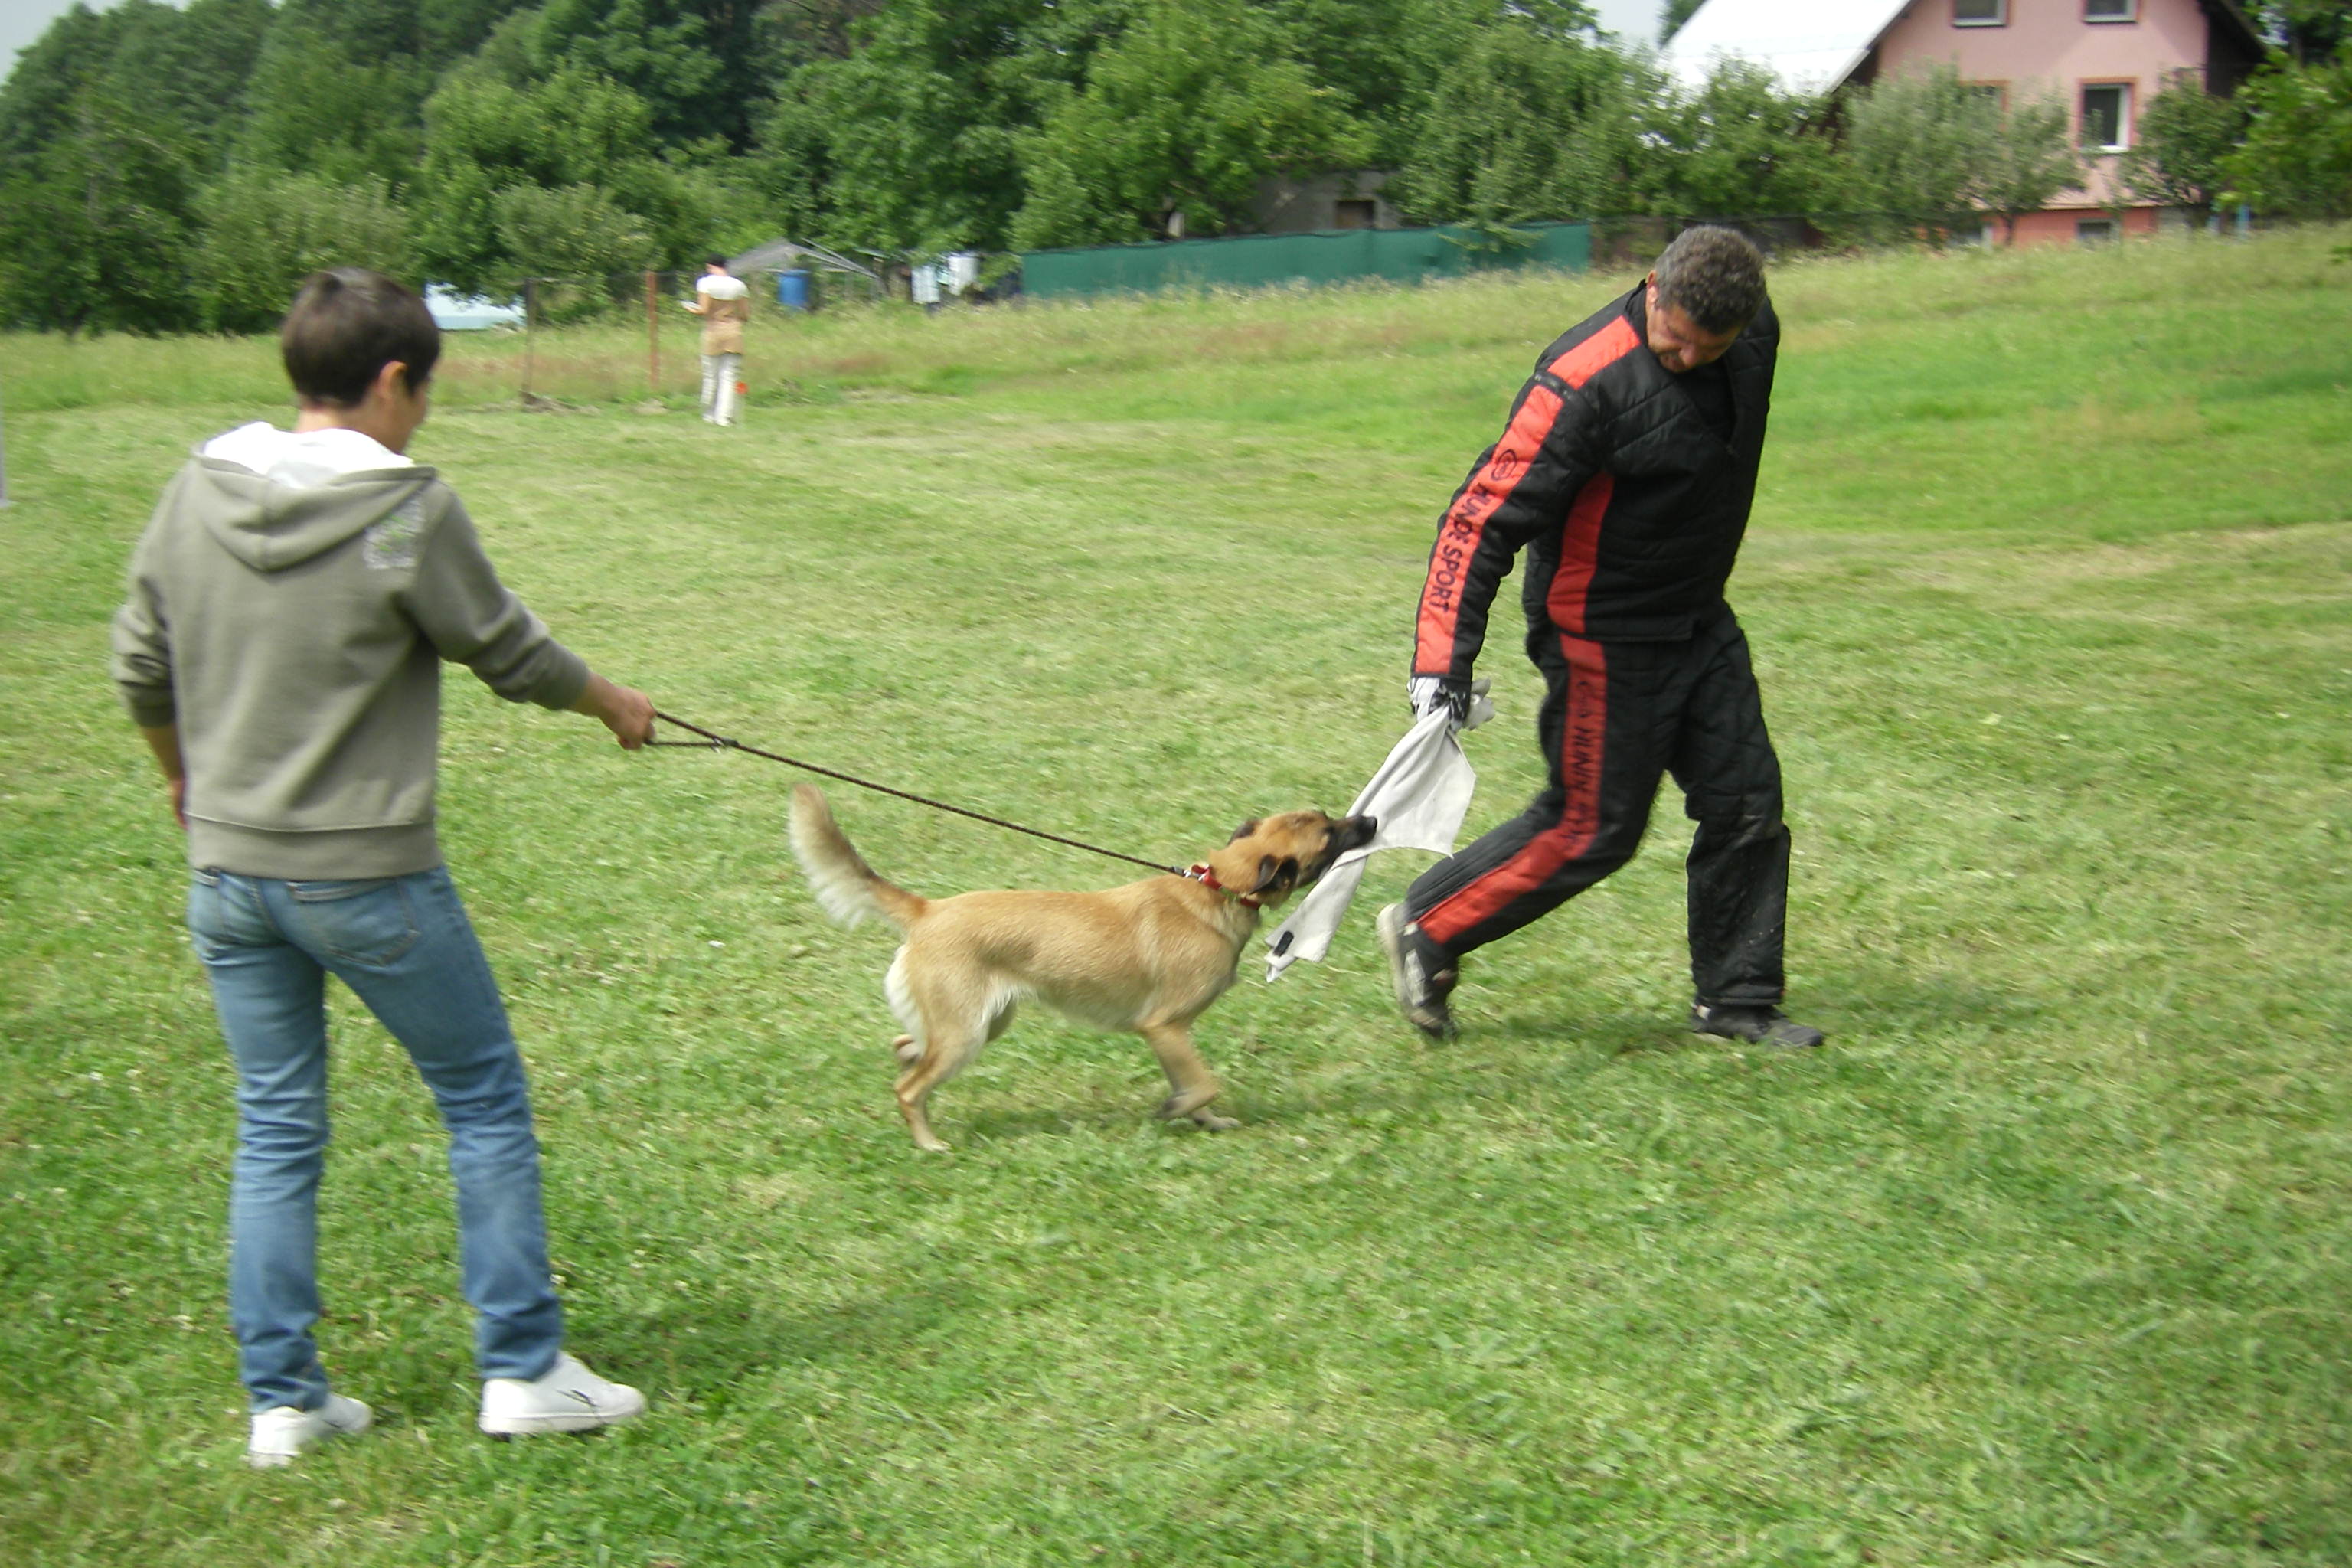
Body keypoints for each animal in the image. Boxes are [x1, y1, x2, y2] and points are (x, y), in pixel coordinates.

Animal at [790, 785, 1374, 1152]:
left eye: (1329, 817)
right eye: (1328, 835)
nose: (1370, 820)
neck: (1217, 890)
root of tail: (928, 910)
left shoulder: (1169, 1038)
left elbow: (1194, 1086)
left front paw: (1201, 1118)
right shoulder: (1164, 1027)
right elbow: (1204, 1084)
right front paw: (1178, 1111)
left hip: (980, 1025)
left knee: (906, 1051)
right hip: (966, 1036)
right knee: (909, 1089)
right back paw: (929, 1143)